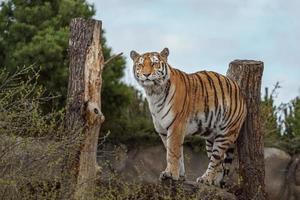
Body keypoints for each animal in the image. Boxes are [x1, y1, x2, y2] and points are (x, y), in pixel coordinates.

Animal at [130, 47, 247, 186]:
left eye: (154, 63)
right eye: (140, 65)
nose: (146, 74)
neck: (153, 93)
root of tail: (239, 91)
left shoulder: (176, 126)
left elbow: (173, 152)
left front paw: (171, 174)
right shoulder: (163, 130)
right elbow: (173, 152)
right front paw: (179, 175)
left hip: (226, 134)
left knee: (216, 159)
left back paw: (206, 179)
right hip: (211, 137)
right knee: (220, 164)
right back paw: (214, 182)